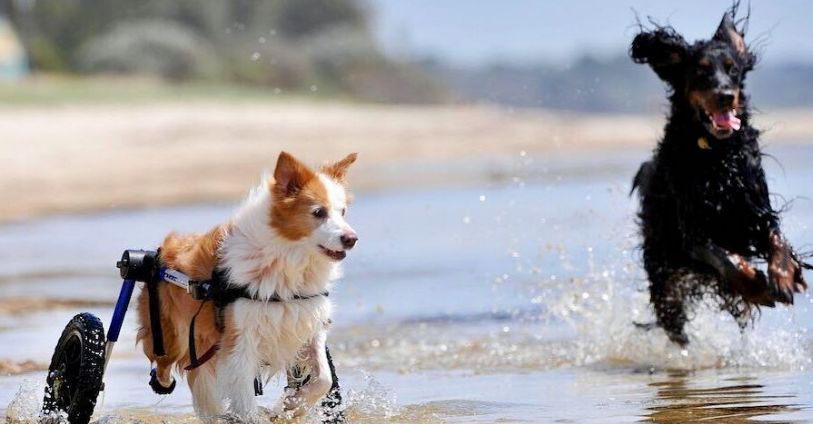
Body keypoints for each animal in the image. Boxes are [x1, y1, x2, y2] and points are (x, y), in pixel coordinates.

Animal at [136, 152, 358, 420]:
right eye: (318, 212)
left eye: (343, 211)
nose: (352, 239)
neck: (288, 259)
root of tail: (162, 252)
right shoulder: (240, 340)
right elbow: (245, 400)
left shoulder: (305, 322)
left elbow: (324, 379)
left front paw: (292, 405)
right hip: (169, 340)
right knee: (165, 368)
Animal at [628, 5, 804, 344]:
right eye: (701, 71)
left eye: (733, 70)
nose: (725, 95)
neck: (716, 153)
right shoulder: (693, 231)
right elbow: (725, 258)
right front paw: (758, 286)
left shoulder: (755, 210)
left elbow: (776, 239)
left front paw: (785, 276)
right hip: (665, 276)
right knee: (673, 320)